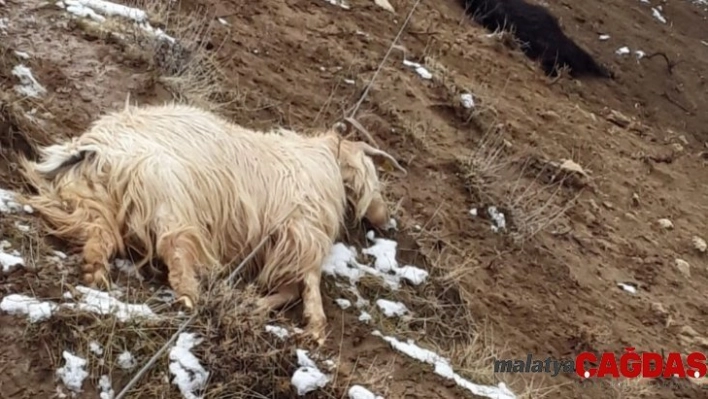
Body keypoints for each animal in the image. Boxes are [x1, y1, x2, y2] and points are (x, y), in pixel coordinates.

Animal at [19, 102, 406, 344]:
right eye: (373, 171)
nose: (388, 221)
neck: (323, 161)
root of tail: (95, 148)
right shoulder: (300, 232)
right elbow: (305, 285)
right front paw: (316, 329)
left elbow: (289, 287)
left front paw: (253, 303)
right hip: (167, 195)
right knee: (174, 249)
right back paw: (189, 298)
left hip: (86, 201)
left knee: (99, 237)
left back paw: (94, 271)